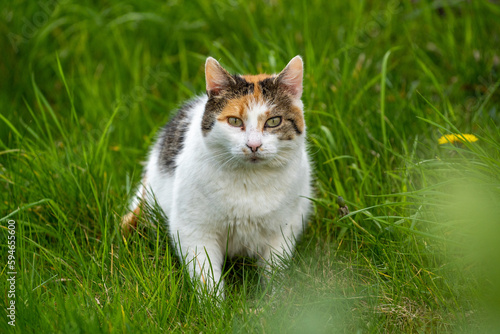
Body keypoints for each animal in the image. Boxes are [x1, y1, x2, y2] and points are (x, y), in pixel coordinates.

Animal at [121, 55, 310, 298]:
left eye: (274, 121)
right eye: (235, 121)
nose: (254, 145)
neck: (250, 181)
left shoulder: (283, 231)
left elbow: (274, 271)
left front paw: (274, 301)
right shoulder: (194, 231)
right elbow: (206, 275)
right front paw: (213, 305)